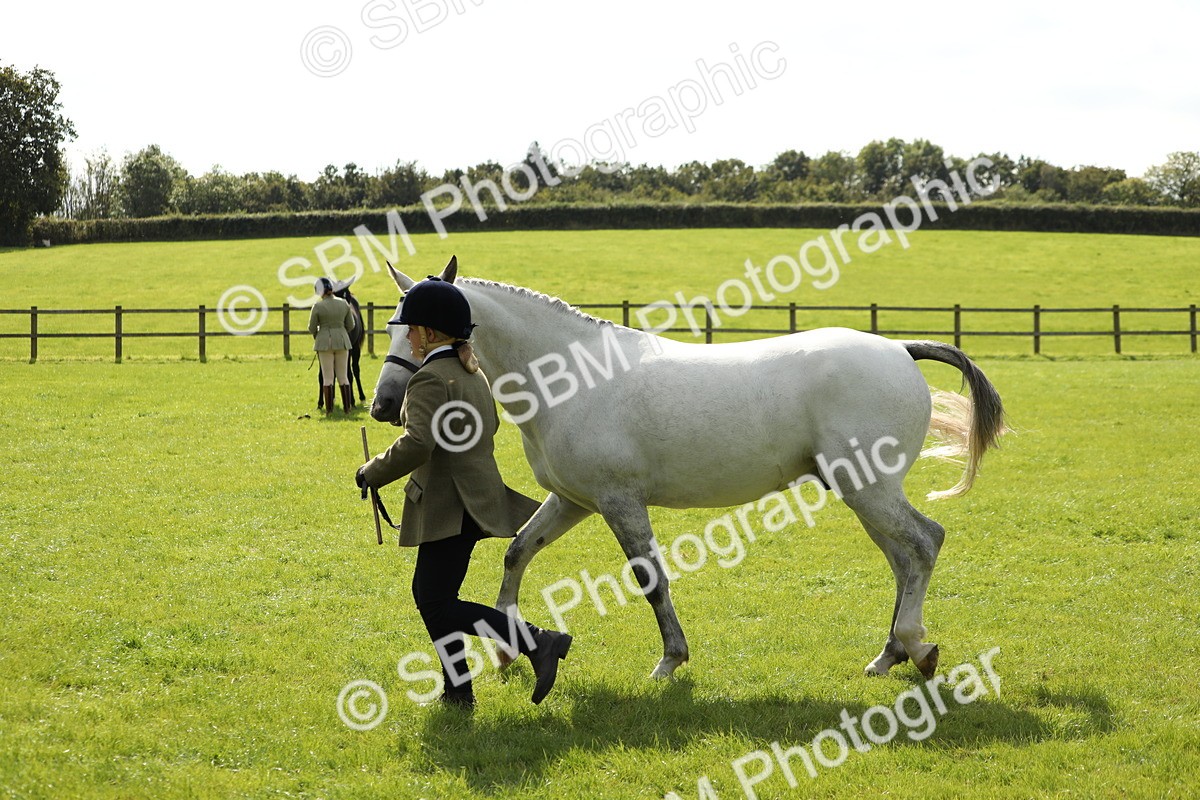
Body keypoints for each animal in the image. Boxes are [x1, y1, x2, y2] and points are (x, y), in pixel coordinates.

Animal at [369, 257, 1006, 681]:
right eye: (392, 325)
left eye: (418, 330)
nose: (383, 405)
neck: (574, 378)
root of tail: (899, 349)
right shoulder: (575, 501)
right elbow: (517, 552)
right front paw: (506, 650)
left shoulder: (619, 502)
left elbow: (651, 579)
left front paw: (670, 661)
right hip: (864, 492)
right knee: (903, 558)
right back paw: (889, 655)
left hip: (868, 488)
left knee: (923, 543)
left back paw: (916, 648)